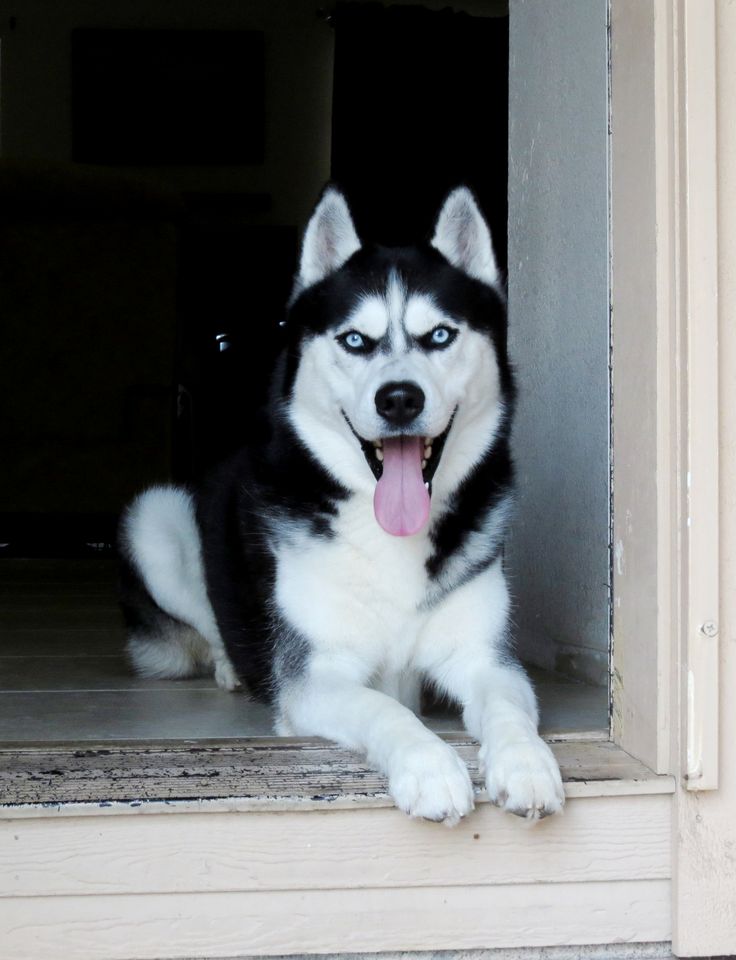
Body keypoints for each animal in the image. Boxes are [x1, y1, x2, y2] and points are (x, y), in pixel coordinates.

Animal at [119, 186, 564, 824]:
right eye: (356, 340)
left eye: (440, 336)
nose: (399, 398)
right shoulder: (317, 679)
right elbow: (386, 709)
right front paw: (430, 768)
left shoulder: (484, 659)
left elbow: (506, 707)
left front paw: (526, 763)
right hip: (154, 518)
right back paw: (231, 665)